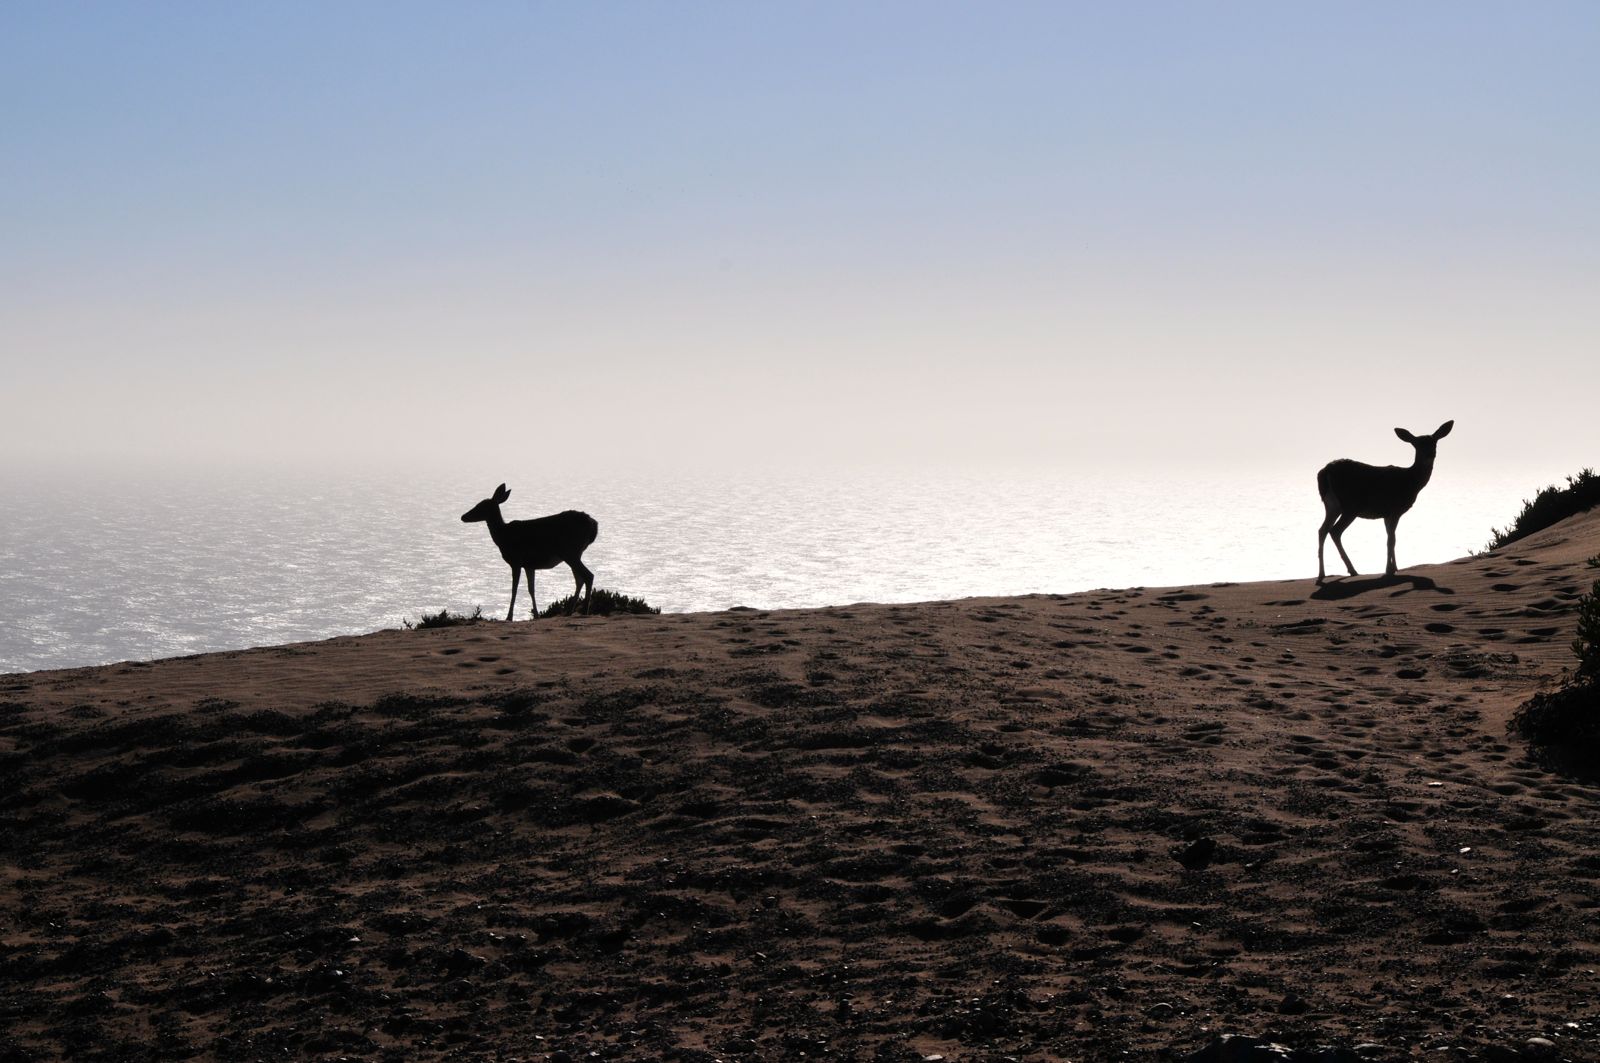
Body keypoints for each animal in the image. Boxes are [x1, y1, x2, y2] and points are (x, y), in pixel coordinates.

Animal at [460, 484, 598, 621]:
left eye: (481, 506)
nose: (463, 516)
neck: (503, 537)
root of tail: (593, 525)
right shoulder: (529, 565)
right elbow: (531, 589)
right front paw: (536, 615)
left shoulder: (516, 560)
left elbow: (514, 589)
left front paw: (509, 617)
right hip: (574, 553)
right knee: (579, 579)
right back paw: (569, 612)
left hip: (570, 551)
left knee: (588, 575)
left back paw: (584, 611)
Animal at [1316, 420, 1453, 584]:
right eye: (1417, 444)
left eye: (1434, 442)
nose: (1430, 454)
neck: (1410, 481)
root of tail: (1325, 471)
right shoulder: (1395, 509)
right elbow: (1391, 540)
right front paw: (1389, 570)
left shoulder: (1386, 514)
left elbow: (1391, 537)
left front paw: (1395, 567)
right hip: (1350, 506)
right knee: (1334, 531)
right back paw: (1350, 570)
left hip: (1331, 505)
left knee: (1322, 530)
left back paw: (1323, 574)